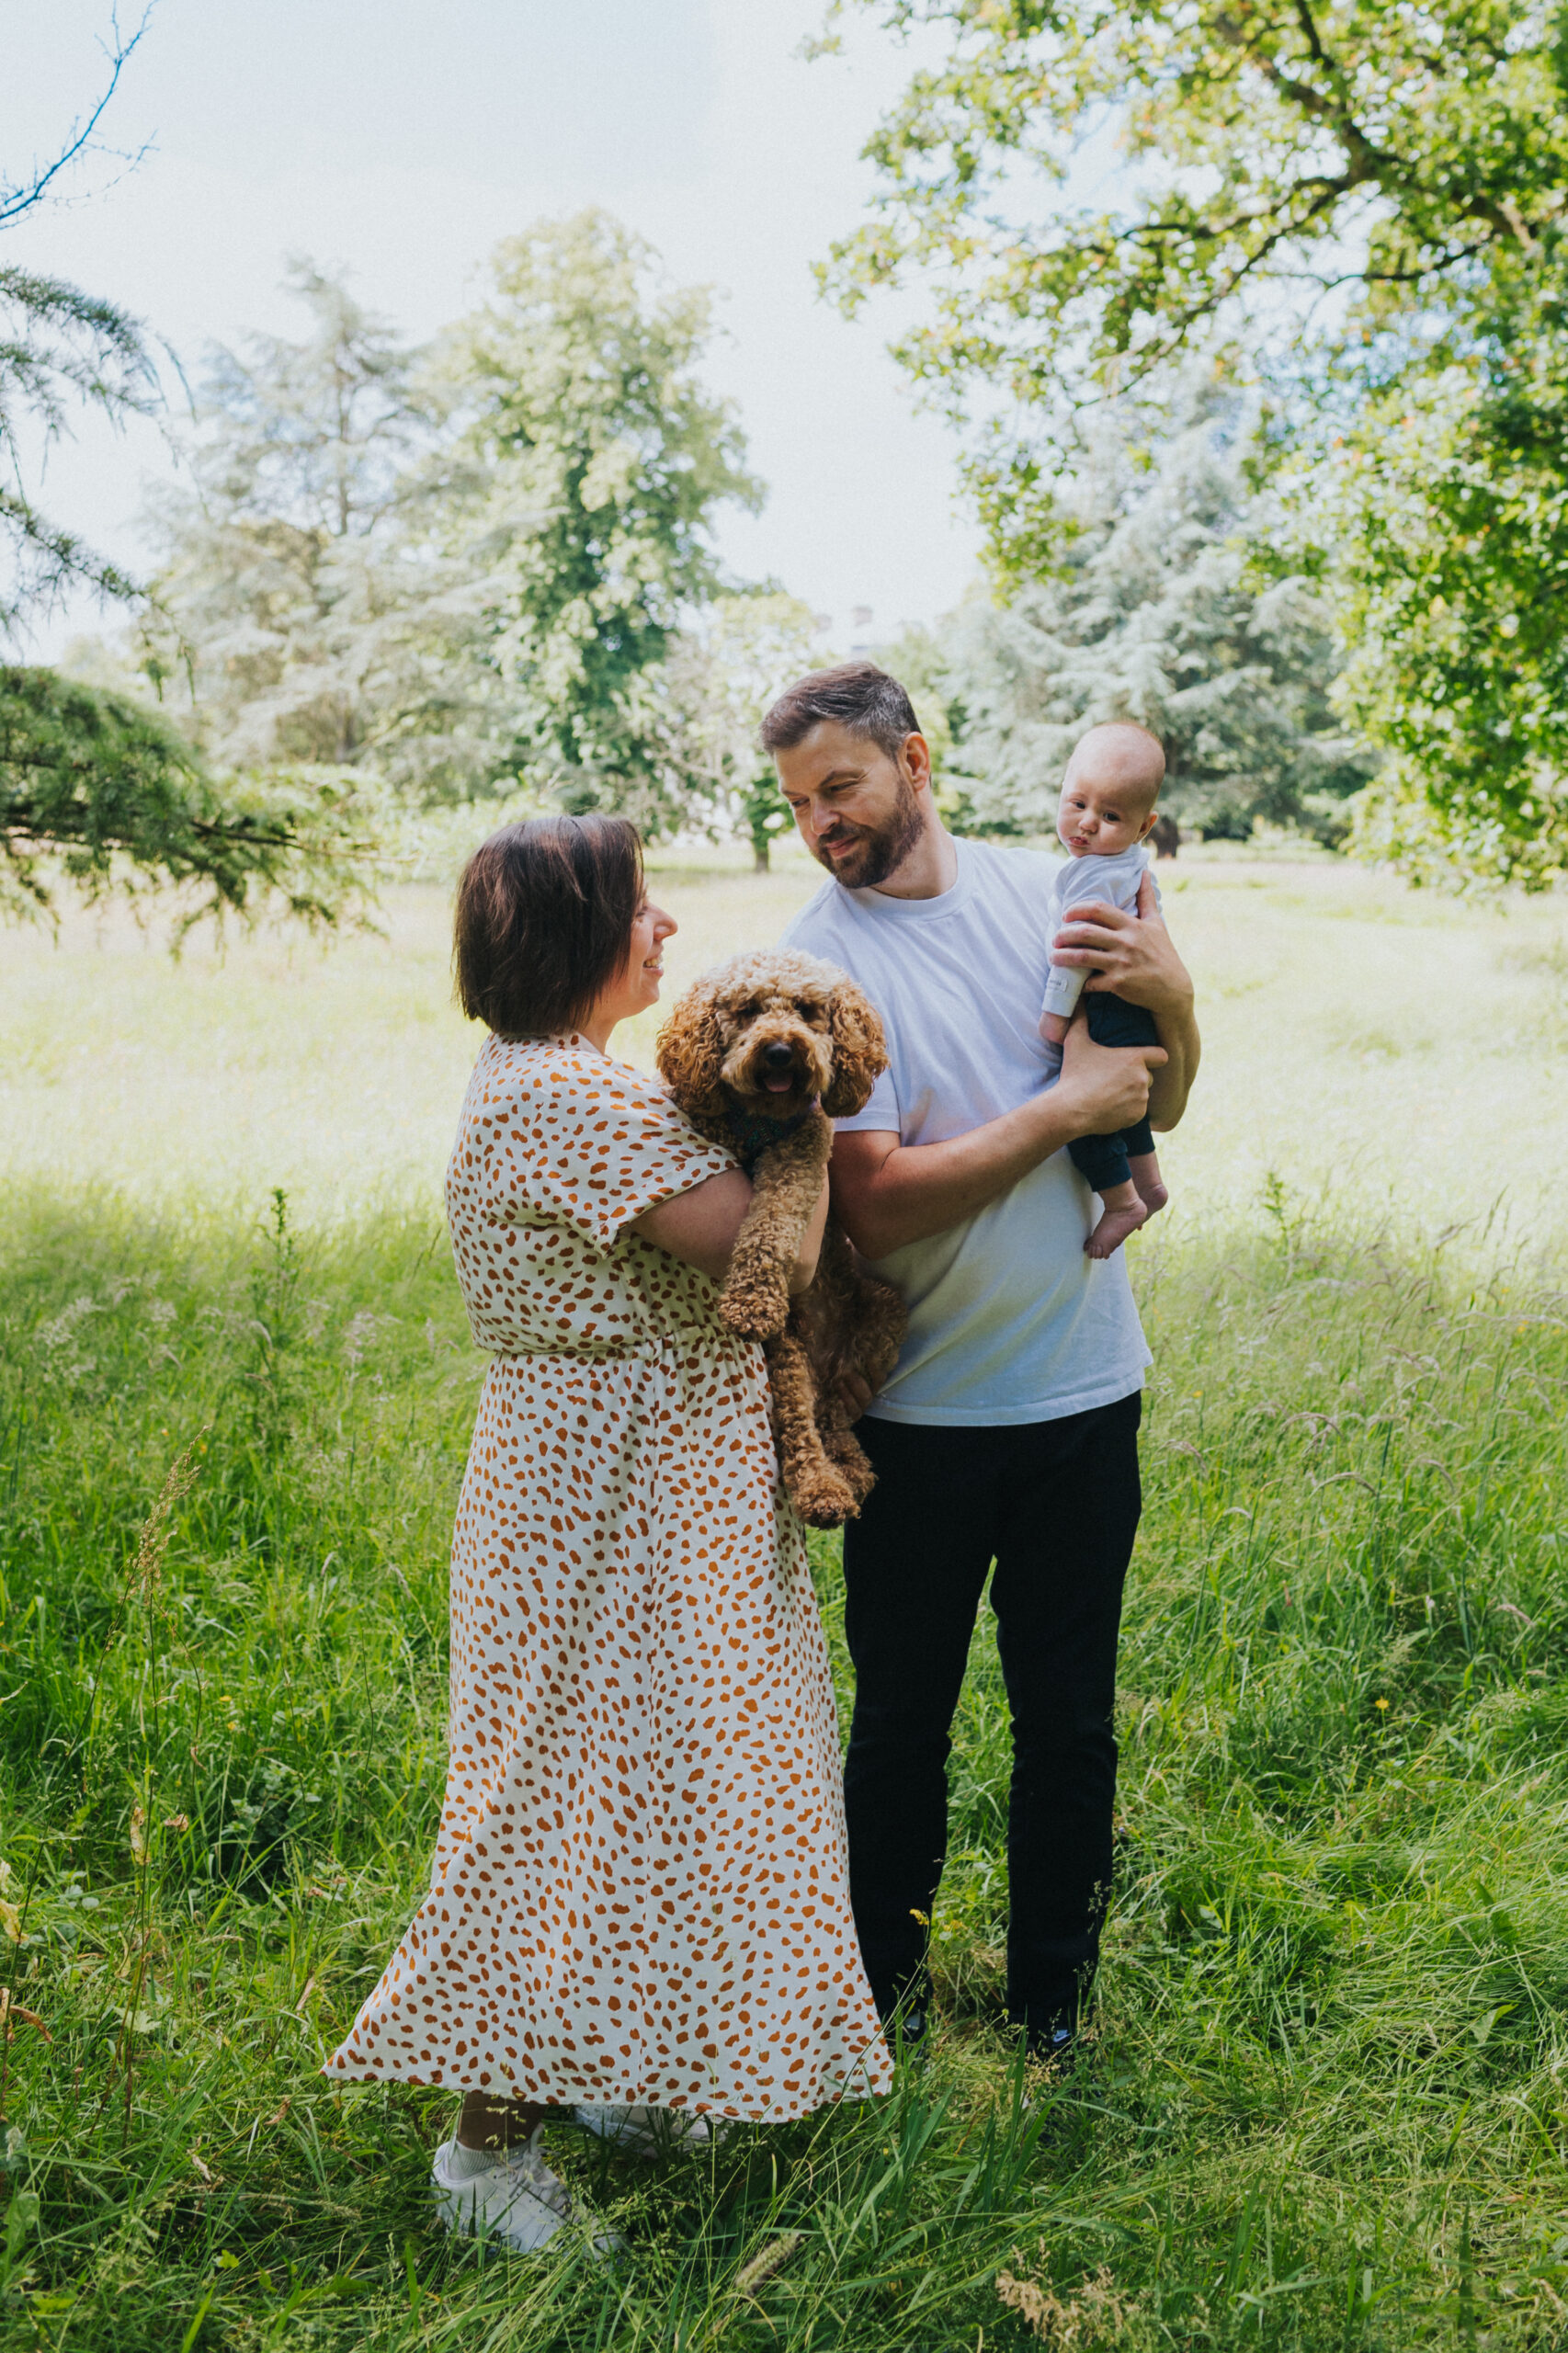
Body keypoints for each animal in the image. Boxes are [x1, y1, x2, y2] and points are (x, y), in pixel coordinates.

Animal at [654, 946, 903, 1534]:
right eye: (746, 1011)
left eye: (808, 1010)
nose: (779, 1051)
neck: (756, 1123)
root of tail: (825, 1357)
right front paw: (750, 1301)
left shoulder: (802, 1152)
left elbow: (773, 1218)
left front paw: (752, 1299)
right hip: (788, 1352)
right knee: (801, 1422)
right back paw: (824, 1486)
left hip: (882, 1315)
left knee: (832, 1419)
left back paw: (841, 1479)